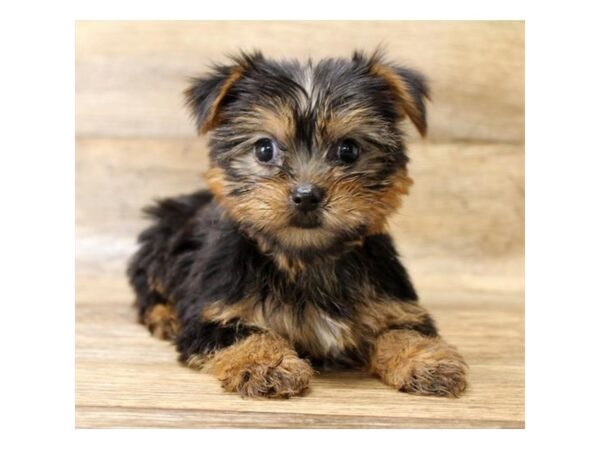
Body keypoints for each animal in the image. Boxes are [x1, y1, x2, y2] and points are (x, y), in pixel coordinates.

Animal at [127, 51, 468, 400]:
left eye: (348, 150)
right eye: (265, 149)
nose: (306, 196)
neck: (306, 259)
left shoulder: (393, 303)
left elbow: (403, 329)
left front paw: (426, 361)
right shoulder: (214, 314)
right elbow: (247, 333)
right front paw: (266, 365)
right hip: (159, 241)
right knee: (147, 292)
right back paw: (165, 317)